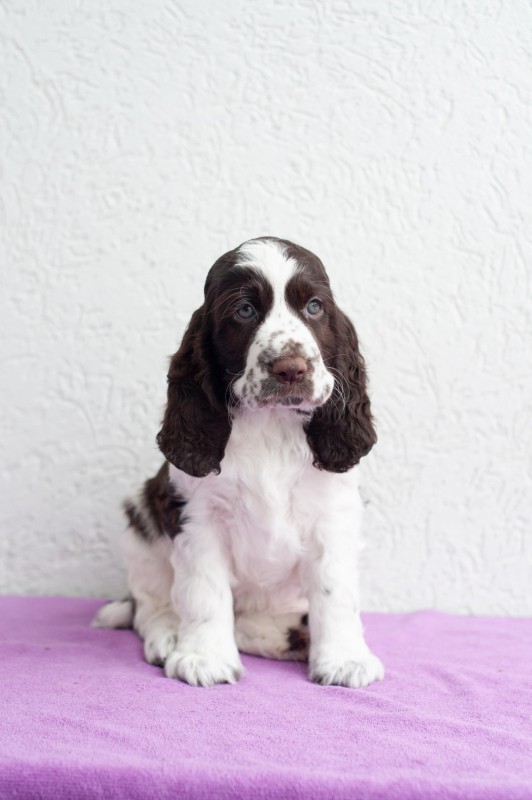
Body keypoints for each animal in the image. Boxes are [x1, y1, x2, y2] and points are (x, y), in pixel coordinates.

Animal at [94, 236, 382, 688]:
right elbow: (204, 591)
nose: (290, 369)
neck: (271, 426)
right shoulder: (196, 517)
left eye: (314, 307)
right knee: (149, 607)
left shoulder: (333, 516)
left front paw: (344, 659)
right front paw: (204, 657)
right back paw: (169, 637)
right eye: (244, 310)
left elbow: (335, 592)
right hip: (141, 522)